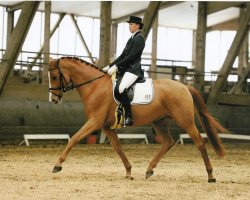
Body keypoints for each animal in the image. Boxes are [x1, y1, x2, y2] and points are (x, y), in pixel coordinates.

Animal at [47, 56, 227, 183]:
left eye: (54, 76)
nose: (53, 99)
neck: (95, 86)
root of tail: (185, 87)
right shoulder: (106, 126)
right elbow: (118, 147)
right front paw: (128, 171)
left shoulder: (95, 122)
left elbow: (74, 139)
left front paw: (57, 165)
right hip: (159, 121)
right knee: (167, 142)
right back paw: (149, 169)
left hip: (185, 121)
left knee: (200, 143)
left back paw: (210, 176)